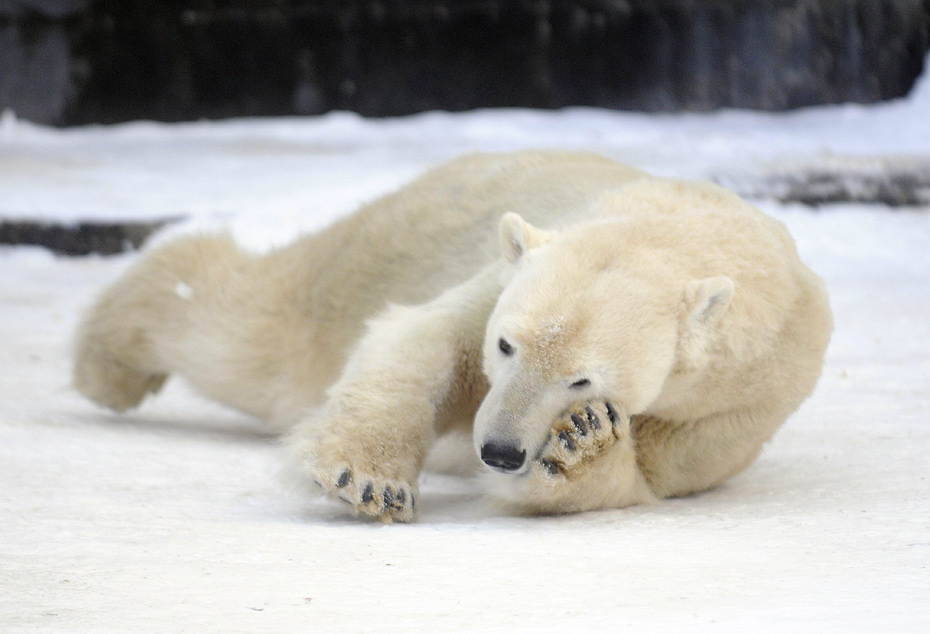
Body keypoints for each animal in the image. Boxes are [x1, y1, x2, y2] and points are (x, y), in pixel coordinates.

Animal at [70, 151, 828, 520]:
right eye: (506, 346)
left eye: (582, 376)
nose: (497, 450)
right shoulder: (505, 272)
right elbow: (429, 343)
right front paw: (368, 481)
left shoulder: (736, 402)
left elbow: (646, 476)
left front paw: (580, 444)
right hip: (381, 250)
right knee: (243, 333)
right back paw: (105, 367)